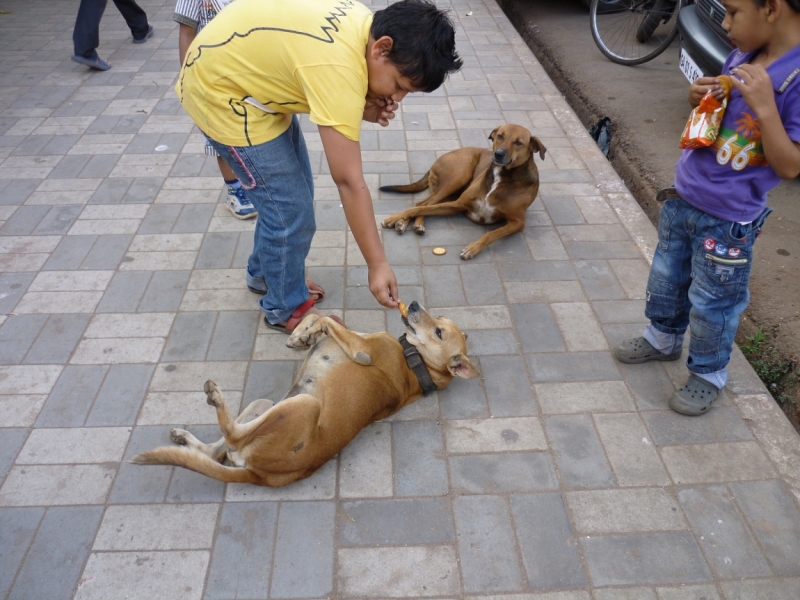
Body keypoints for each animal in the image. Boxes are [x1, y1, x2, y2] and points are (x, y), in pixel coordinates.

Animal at [134, 302, 478, 490]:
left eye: (439, 332)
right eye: (440, 320)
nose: (415, 304)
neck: (415, 364)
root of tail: (260, 476)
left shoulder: (361, 348)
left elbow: (326, 319)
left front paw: (307, 333)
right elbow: (321, 317)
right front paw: (302, 334)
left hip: (304, 404)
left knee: (231, 438)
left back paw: (215, 397)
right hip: (266, 405)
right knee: (217, 451)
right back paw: (184, 437)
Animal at [380, 123, 544, 258]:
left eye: (518, 143)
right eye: (500, 136)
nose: (498, 154)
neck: (500, 176)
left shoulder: (518, 222)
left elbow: (492, 233)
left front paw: (472, 248)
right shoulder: (458, 204)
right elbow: (417, 209)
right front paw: (393, 218)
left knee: (424, 204)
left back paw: (413, 224)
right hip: (458, 177)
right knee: (423, 204)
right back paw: (403, 223)